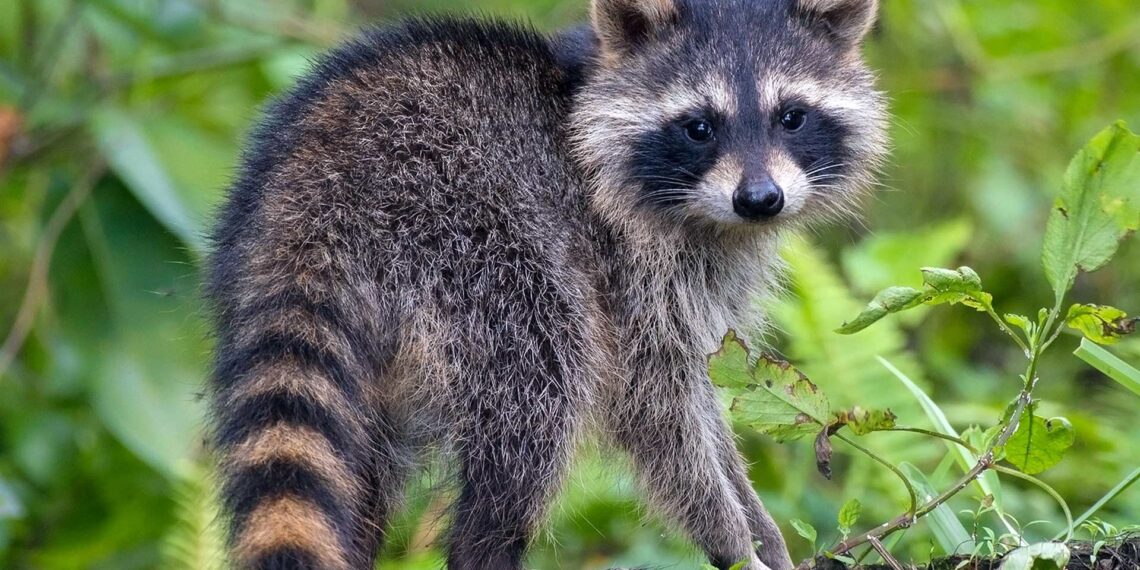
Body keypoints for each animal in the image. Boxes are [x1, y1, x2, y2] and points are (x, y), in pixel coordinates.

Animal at [206, 0, 887, 569]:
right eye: (699, 127)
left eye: (792, 117)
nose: (761, 199)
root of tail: (316, 198)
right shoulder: (626, 263)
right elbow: (656, 408)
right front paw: (729, 533)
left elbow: (702, 388)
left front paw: (757, 522)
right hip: (478, 245)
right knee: (538, 403)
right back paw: (488, 544)